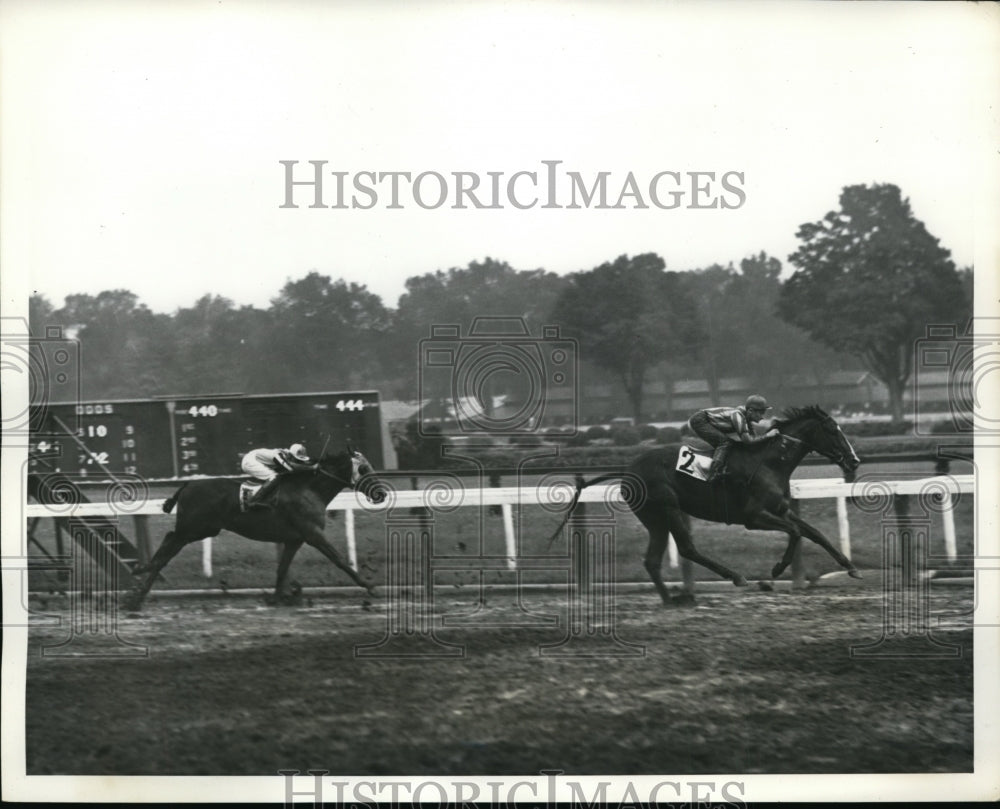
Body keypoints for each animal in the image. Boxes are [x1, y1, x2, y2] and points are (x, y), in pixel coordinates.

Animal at [122, 446, 386, 608]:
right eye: (364, 468)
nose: (381, 493)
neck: (309, 489)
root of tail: (187, 485)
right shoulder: (313, 534)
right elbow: (340, 560)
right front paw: (370, 587)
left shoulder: (294, 539)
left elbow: (282, 569)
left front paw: (279, 597)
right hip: (193, 528)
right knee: (169, 542)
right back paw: (141, 576)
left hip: (204, 529)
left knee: (169, 546)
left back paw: (138, 593)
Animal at [548, 408, 860, 604]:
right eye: (833, 430)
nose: (854, 461)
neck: (770, 462)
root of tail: (628, 471)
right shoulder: (754, 517)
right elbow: (795, 532)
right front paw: (776, 569)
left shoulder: (781, 510)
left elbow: (814, 533)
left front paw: (850, 567)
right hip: (667, 508)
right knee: (686, 548)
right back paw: (735, 577)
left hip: (656, 519)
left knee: (652, 560)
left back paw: (671, 600)